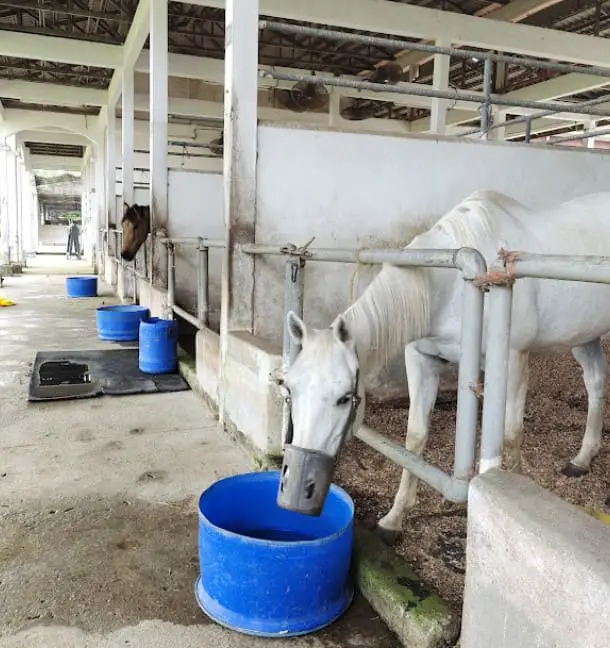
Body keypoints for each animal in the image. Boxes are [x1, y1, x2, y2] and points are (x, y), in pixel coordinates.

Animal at [282, 191, 608, 540]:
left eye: (344, 398)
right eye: (290, 389)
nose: (297, 487)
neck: (455, 286)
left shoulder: (514, 361)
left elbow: (511, 435)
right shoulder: (422, 361)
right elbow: (415, 437)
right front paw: (394, 518)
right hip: (585, 336)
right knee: (595, 383)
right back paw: (582, 459)